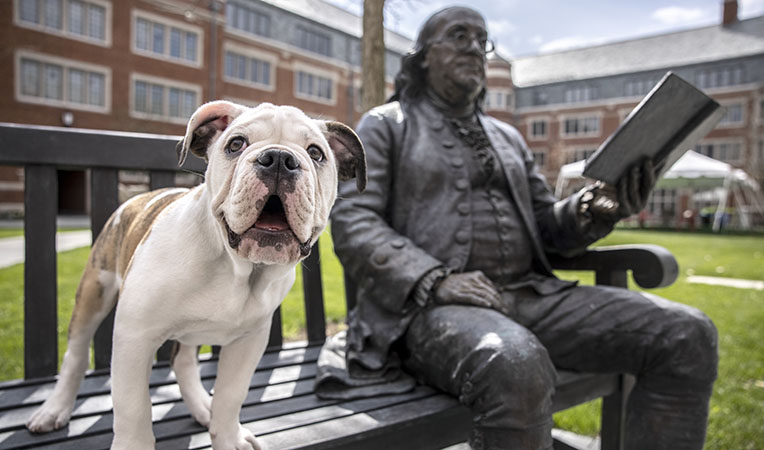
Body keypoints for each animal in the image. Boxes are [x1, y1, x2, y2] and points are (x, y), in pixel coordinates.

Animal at [25, 102, 366, 450]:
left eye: (316, 153)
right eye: (236, 144)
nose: (280, 159)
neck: (237, 269)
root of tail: (136, 198)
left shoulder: (248, 341)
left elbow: (230, 396)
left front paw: (228, 438)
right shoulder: (135, 336)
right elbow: (133, 408)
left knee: (184, 359)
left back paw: (203, 406)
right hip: (95, 290)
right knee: (76, 354)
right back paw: (54, 410)